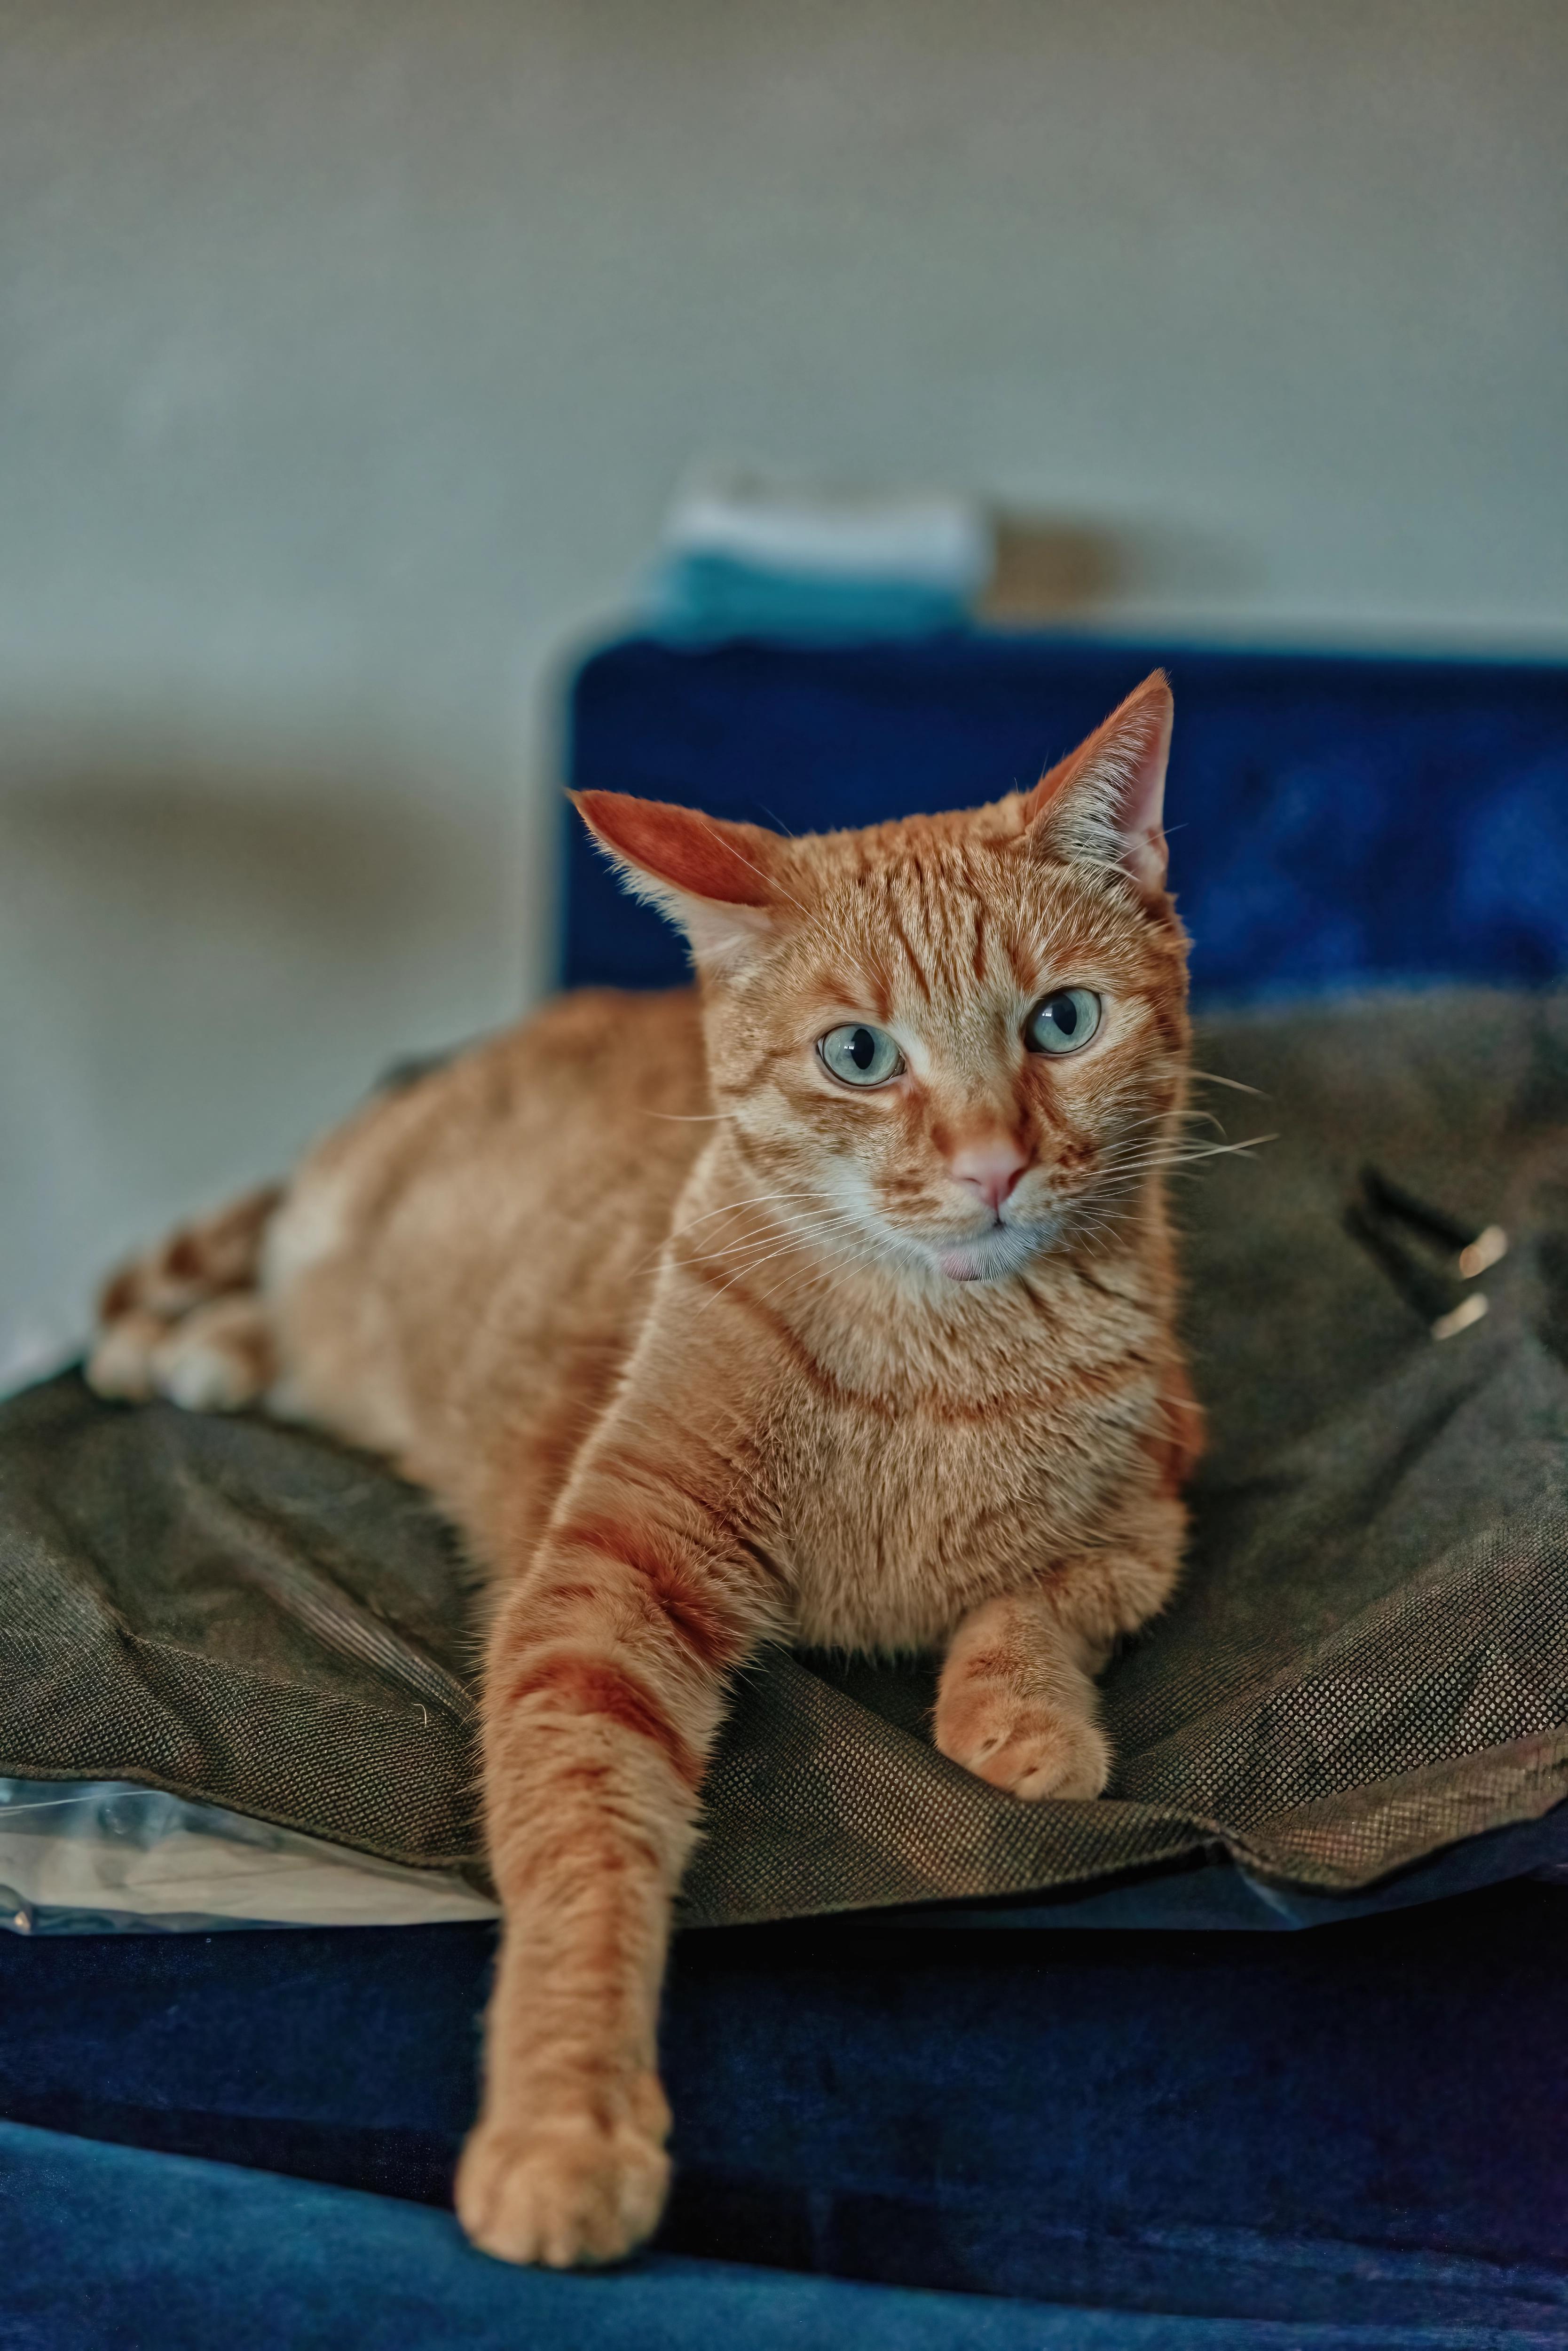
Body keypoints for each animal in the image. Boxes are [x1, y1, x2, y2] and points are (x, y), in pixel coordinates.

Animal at [86, 663, 1204, 2257]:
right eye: (859, 1055)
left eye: (1061, 1022)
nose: (991, 1164)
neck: (938, 1362)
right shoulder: (604, 1590)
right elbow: (582, 1862)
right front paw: (567, 2122)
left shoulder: (1151, 1509)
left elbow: (1036, 1603)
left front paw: (1019, 1719)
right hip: (341, 1247)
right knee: (265, 1272)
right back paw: (178, 1346)